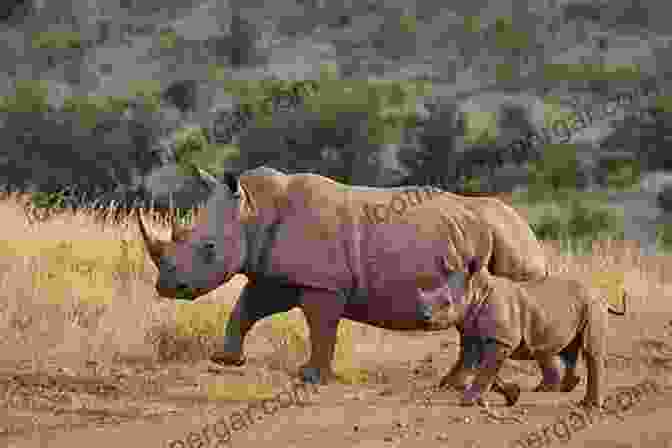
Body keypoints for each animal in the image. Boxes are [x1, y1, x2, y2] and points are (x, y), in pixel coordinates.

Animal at [428, 256, 624, 410]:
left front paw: (466, 402)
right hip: (578, 306)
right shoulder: (483, 334)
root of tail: (601, 295)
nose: (426, 317)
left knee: (590, 349)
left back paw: (589, 405)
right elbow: (486, 368)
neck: (477, 290)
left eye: (446, 303)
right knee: (567, 347)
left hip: (592, 304)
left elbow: (486, 369)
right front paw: (512, 395)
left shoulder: (501, 339)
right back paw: (568, 387)